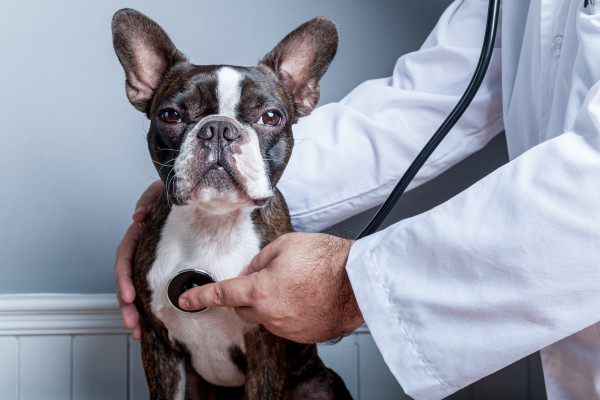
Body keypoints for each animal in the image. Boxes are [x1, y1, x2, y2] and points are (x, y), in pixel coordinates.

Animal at [111, 7, 352, 398]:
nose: (219, 129)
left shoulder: (266, 348)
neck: (213, 224)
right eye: (170, 115)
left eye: (270, 117)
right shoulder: (158, 346)